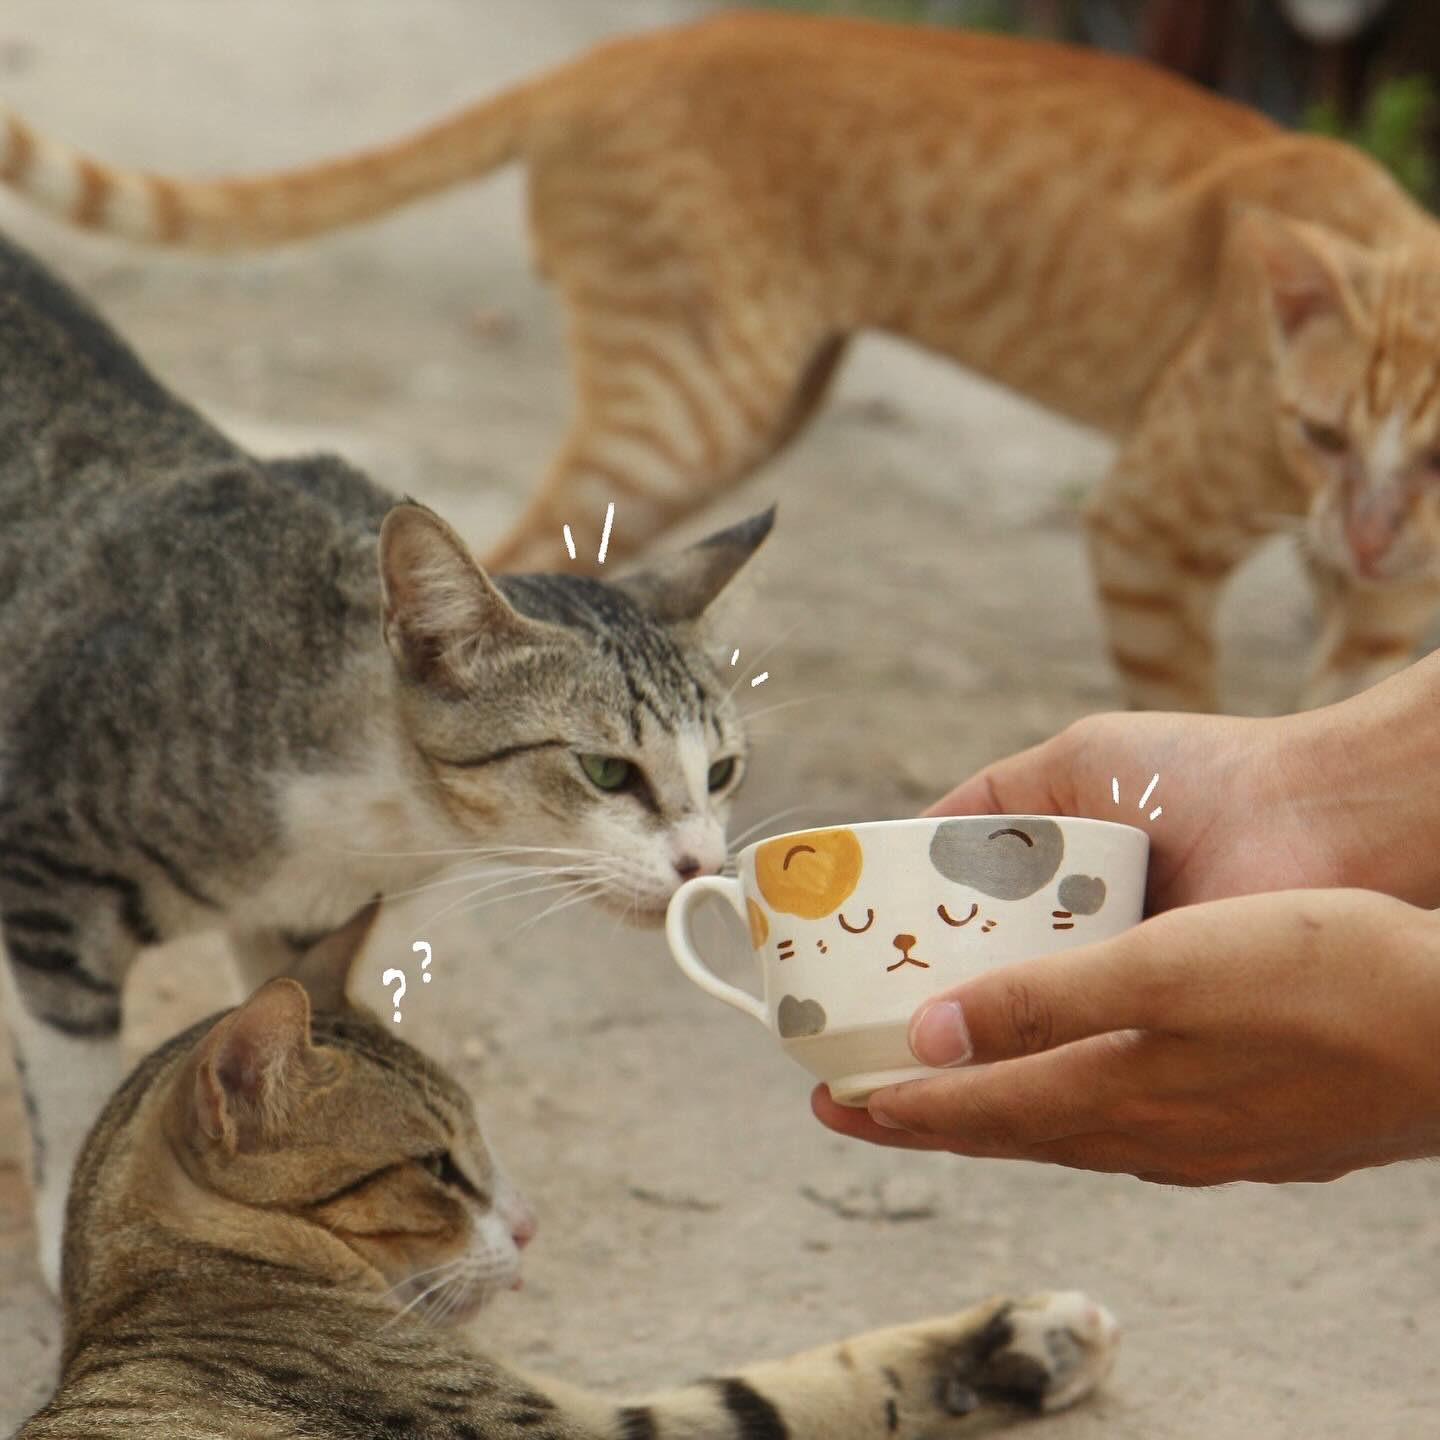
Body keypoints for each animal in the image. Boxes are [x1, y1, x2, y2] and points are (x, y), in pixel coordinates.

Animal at [0, 224, 777, 1296]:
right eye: (607, 772)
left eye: (722, 774)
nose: (705, 862)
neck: (372, 818)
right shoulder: (47, 872)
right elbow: (73, 1070)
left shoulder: (301, 918)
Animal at [2, 9, 1440, 708]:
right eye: (1318, 435)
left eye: (1430, 462)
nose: (1368, 537)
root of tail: (623, 47)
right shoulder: (1145, 525)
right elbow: (1183, 714)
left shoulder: (1383, 611)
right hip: (693, 413)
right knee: (500, 572)